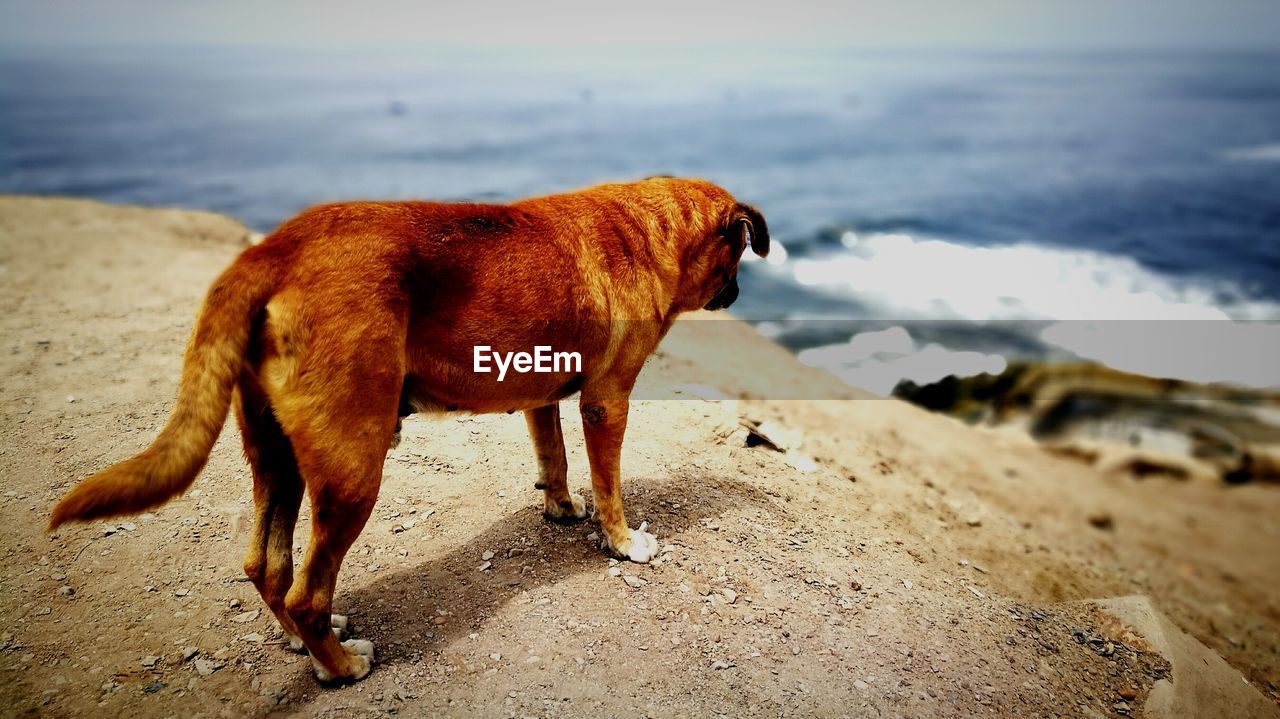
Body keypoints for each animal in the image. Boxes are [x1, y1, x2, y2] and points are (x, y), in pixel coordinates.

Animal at [47, 176, 768, 680]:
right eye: (738, 257)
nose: (737, 295)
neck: (650, 228)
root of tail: (274, 250)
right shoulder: (607, 401)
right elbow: (609, 482)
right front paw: (622, 542)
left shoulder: (539, 393)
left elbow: (554, 457)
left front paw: (561, 507)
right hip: (353, 471)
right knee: (307, 589)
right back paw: (341, 666)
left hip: (276, 455)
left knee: (266, 565)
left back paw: (304, 643)